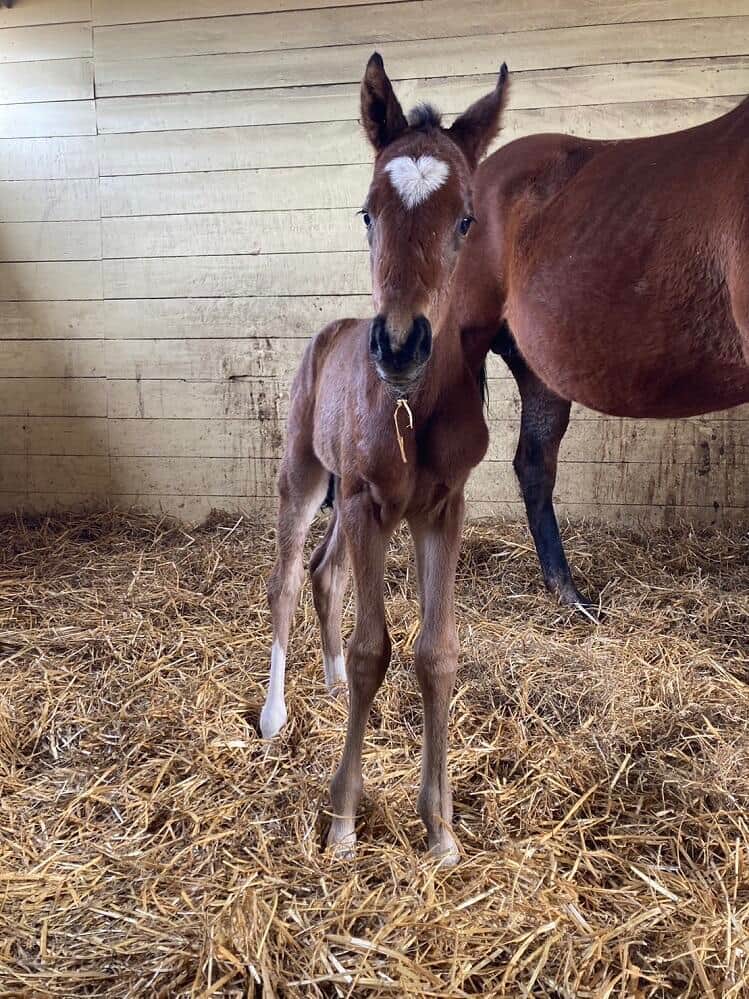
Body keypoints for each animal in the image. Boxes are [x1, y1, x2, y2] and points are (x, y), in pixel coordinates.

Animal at [259, 55, 509, 863]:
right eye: (367, 212)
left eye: (465, 218)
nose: (399, 346)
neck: (411, 408)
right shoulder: (369, 499)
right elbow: (376, 649)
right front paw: (342, 818)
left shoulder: (441, 507)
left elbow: (436, 654)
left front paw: (441, 827)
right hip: (308, 477)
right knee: (287, 574)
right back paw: (274, 715)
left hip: (351, 501)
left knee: (323, 570)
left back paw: (331, 681)